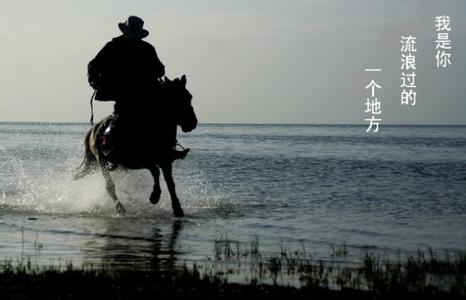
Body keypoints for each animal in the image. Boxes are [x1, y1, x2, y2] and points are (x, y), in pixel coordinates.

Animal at [74, 74, 197, 216]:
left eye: (189, 97)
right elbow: (155, 172)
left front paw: (177, 208)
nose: (192, 122)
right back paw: (120, 208)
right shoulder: (141, 160)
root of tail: (95, 128)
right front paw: (155, 196)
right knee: (109, 187)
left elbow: (170, 184)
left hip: (117, 166)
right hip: (101, 160)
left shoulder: (166, 161)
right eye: (173, 98)